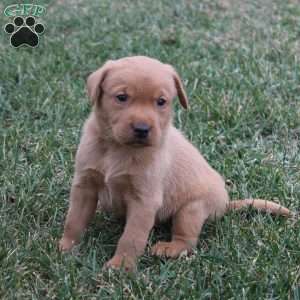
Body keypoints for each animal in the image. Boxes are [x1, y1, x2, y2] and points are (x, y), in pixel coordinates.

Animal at [58, 55, 290, 270]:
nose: (142, 129)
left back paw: (170, 248)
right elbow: (74, 220)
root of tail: (225, 204)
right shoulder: (84, 185)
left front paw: (120, 265)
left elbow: (131, 237)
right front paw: (66, 247)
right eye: (121, 97)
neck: (117, 148)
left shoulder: (144, 201)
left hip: (191, 210)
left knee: (187, 239)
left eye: (161, 101)